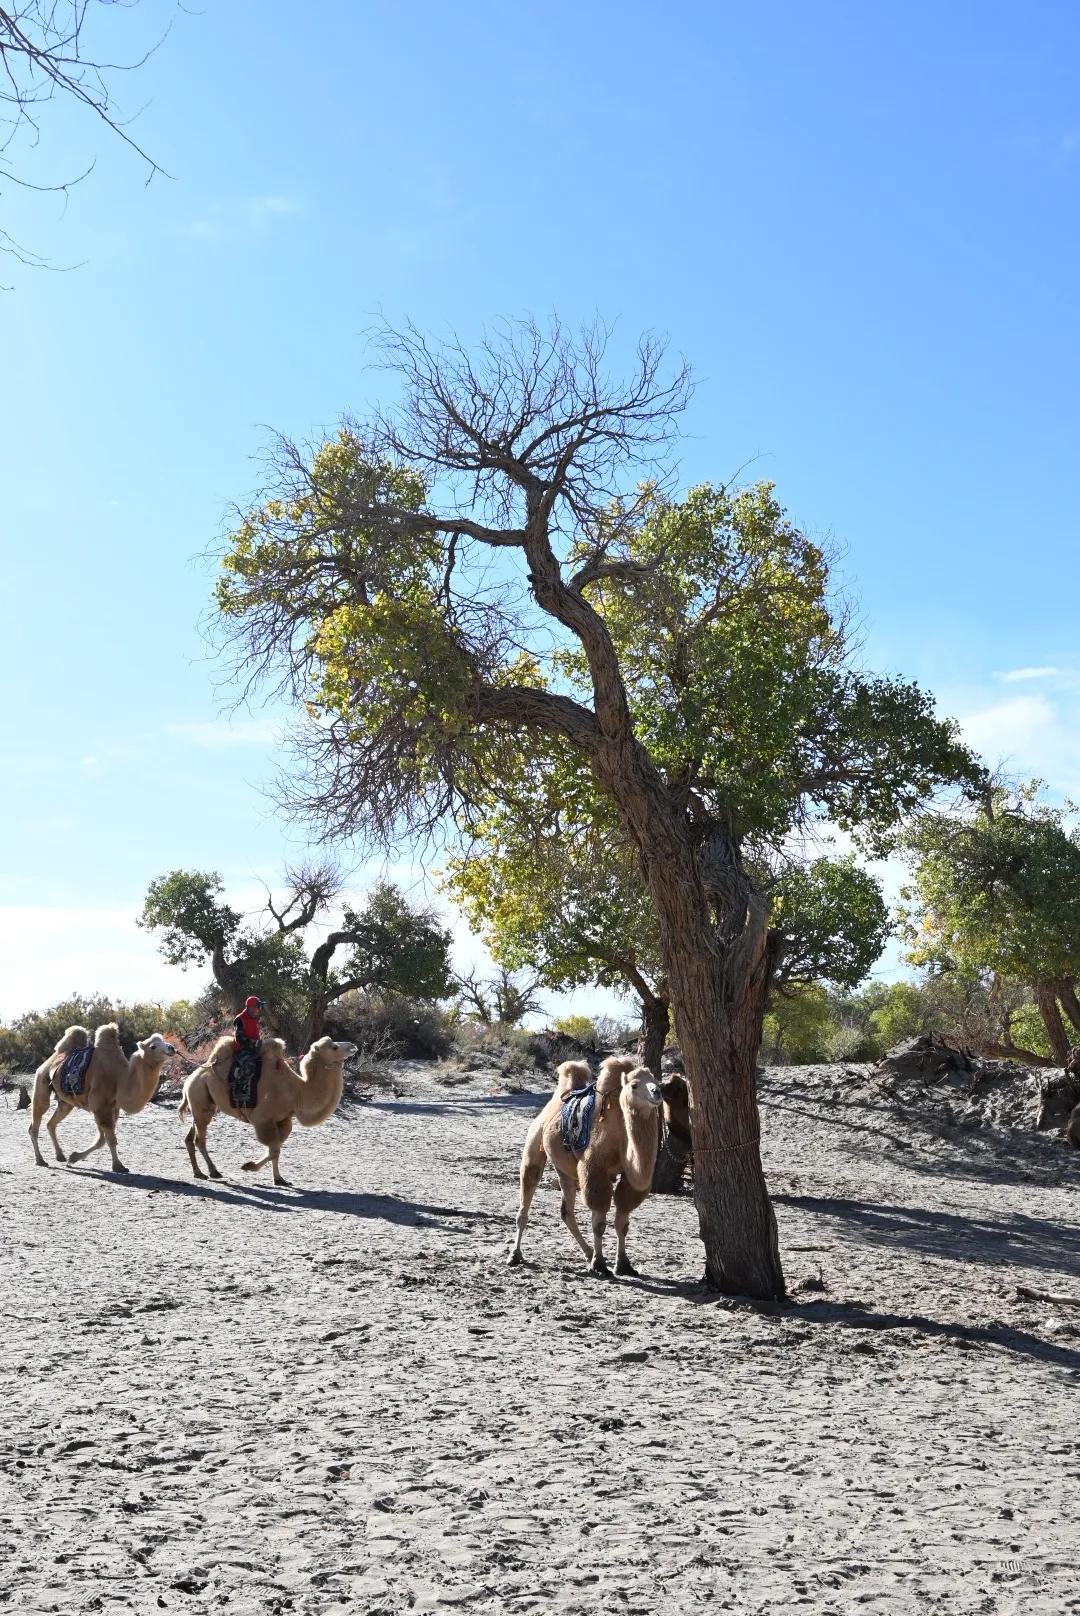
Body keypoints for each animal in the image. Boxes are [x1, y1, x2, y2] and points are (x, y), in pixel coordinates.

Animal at [30, 1021, 175, 1176]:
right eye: (153, 1046)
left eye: (163, 1040)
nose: (171, 1047)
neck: (120, 1079)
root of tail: (51, 1059)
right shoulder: (100, 1106)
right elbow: (109, 1139)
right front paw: (118, 1166)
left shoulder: (113, 1108)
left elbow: (101, 1140)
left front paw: (73, 1157)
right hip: (41, 1081)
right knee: (36, 1120)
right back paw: (40, 1160)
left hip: (66, 1103)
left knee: (51, 1123)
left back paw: (60, 1156)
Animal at [179, 1034, 355, 1189]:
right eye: (334, 1047)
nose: (353, 1046)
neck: (297, 1092)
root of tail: (190, 1079)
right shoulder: (263, 1120)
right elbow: (274, 1150)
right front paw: (249, 1166)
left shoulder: (283, 1121)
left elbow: (275, 1149)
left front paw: (279, 1179)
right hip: (201, 1100)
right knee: (199, 1139)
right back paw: (213, 1171)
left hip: (200, 1105)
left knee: (189, 1138)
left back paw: (198, 1172)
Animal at [507, 1053, 666, 1279]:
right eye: (634, 1085)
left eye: (657, 1082)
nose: (657, 1092)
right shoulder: (594, 1169)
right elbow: (599, 1223)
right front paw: (599, 1264)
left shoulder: (628, 1178)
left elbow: (622, 1223)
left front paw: (623, 1264)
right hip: (534, 1145)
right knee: (527, 1193)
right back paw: (515, 1255)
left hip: (566, 1171)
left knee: (566, 1211)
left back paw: (588, 1252)